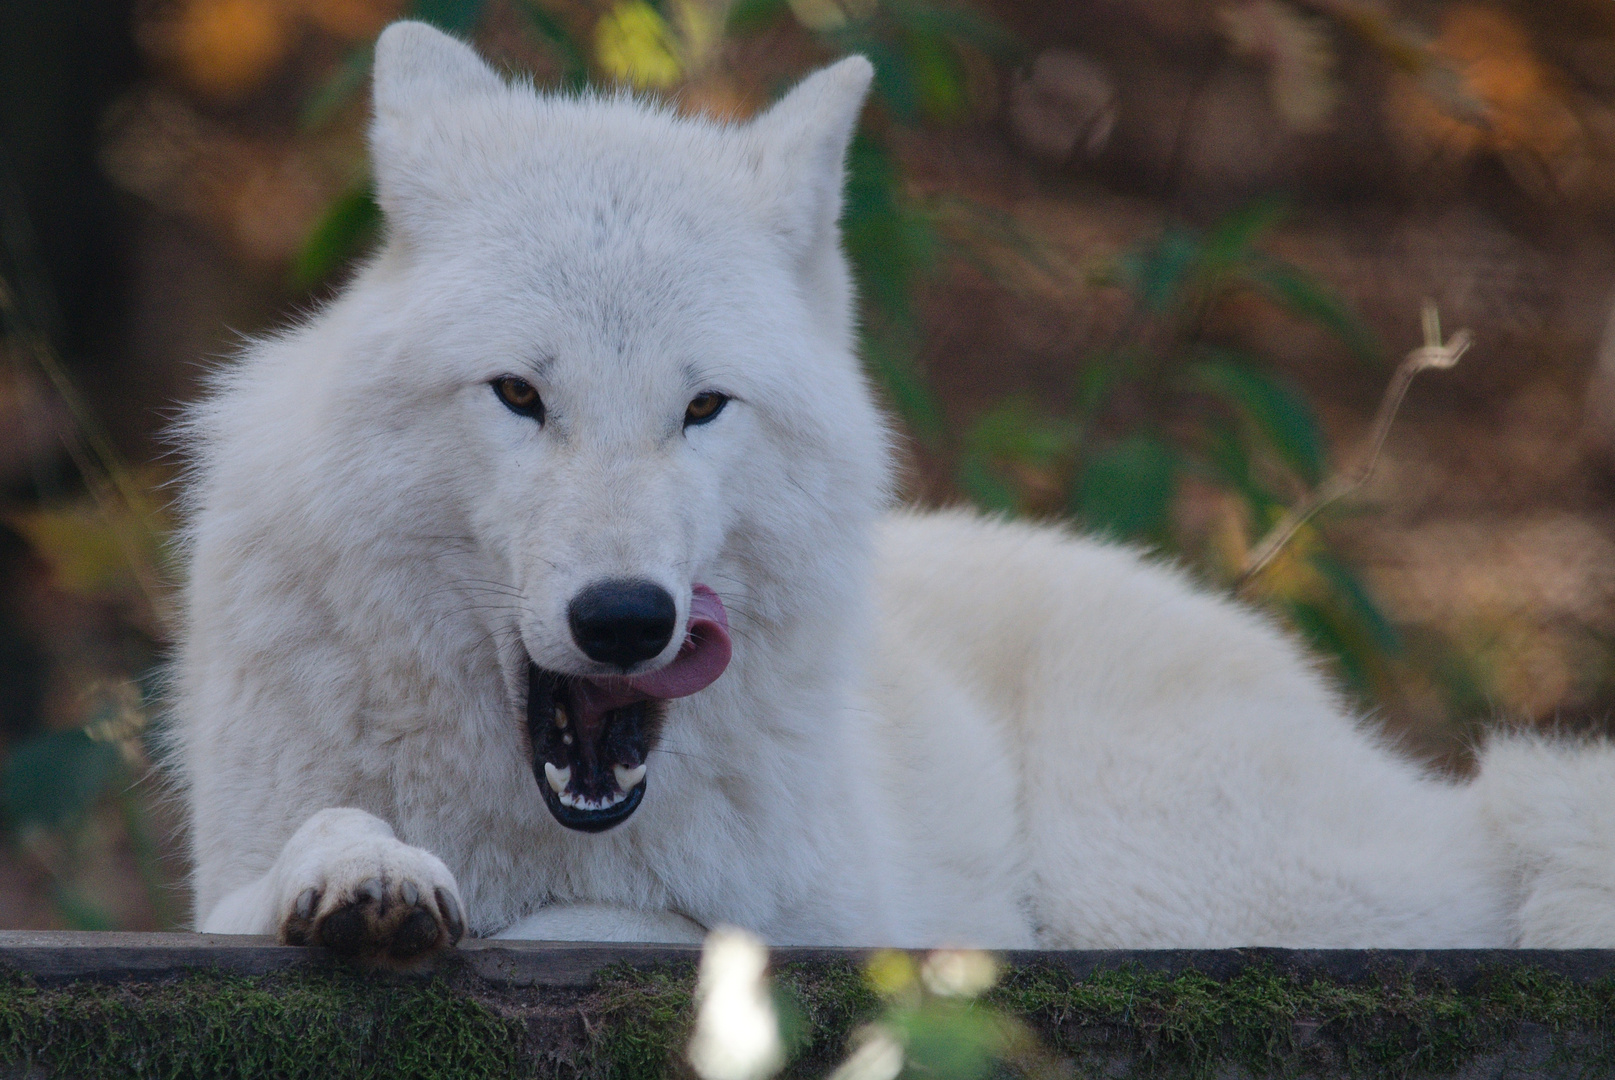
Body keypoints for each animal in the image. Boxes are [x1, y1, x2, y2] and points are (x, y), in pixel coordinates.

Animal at [176, 21, 1615, 955]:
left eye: (702, 407)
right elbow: (281, 884)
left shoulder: (828, 919)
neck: (538, 821)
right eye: (519, 397)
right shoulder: (223, 880)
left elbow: (621, 924)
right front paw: (361, 874)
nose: (626, 620)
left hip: (1168, 886)